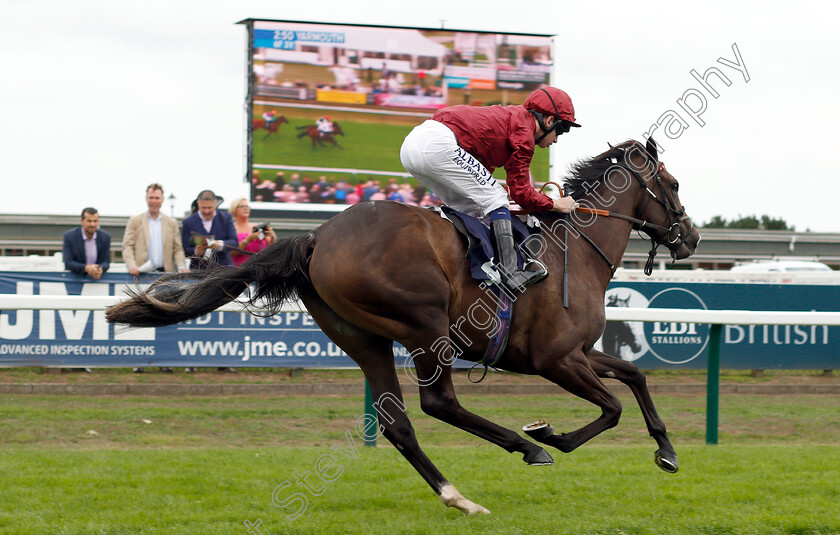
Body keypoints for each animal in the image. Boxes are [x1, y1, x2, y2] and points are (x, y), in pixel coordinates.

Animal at [108, 138, 700, 516]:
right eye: (672, 183)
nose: (691, 237)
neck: (574, 250)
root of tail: (316, 237)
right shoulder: (555, 359)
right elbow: (612, 406)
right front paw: (548, 433)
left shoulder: (579, 352)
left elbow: (634, 377)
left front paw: (667, 452)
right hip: (424, 324)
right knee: (439, 404)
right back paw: (522, 448)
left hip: (362, 338)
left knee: (399, 424)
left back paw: (459, 497)